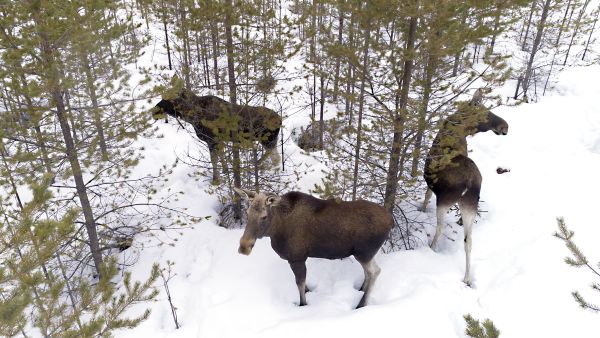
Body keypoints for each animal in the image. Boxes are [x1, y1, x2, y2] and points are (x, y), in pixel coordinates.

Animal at [233, 187, 394, 308]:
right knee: (368, 272)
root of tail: (391, 220)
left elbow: (300, 283)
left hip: (364, 252)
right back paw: (360, 290)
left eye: (264, 216)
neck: (276, 230)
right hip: (366, 254)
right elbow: (303, 284)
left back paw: (361, 304)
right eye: (247, 212)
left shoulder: (297, 258)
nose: (244, 247)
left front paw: (303, 304)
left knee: (374, 271)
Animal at [420, 89, 508, 286]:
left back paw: (432, 249)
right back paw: (467, 278)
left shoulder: (431, 183)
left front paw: (421, 209)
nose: (505, 127)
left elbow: (427, 195)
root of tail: (471, 182)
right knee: (469, 240)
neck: (459, 131)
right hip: (469, 205)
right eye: (486, 113)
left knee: (440, 228)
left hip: (445, 200)